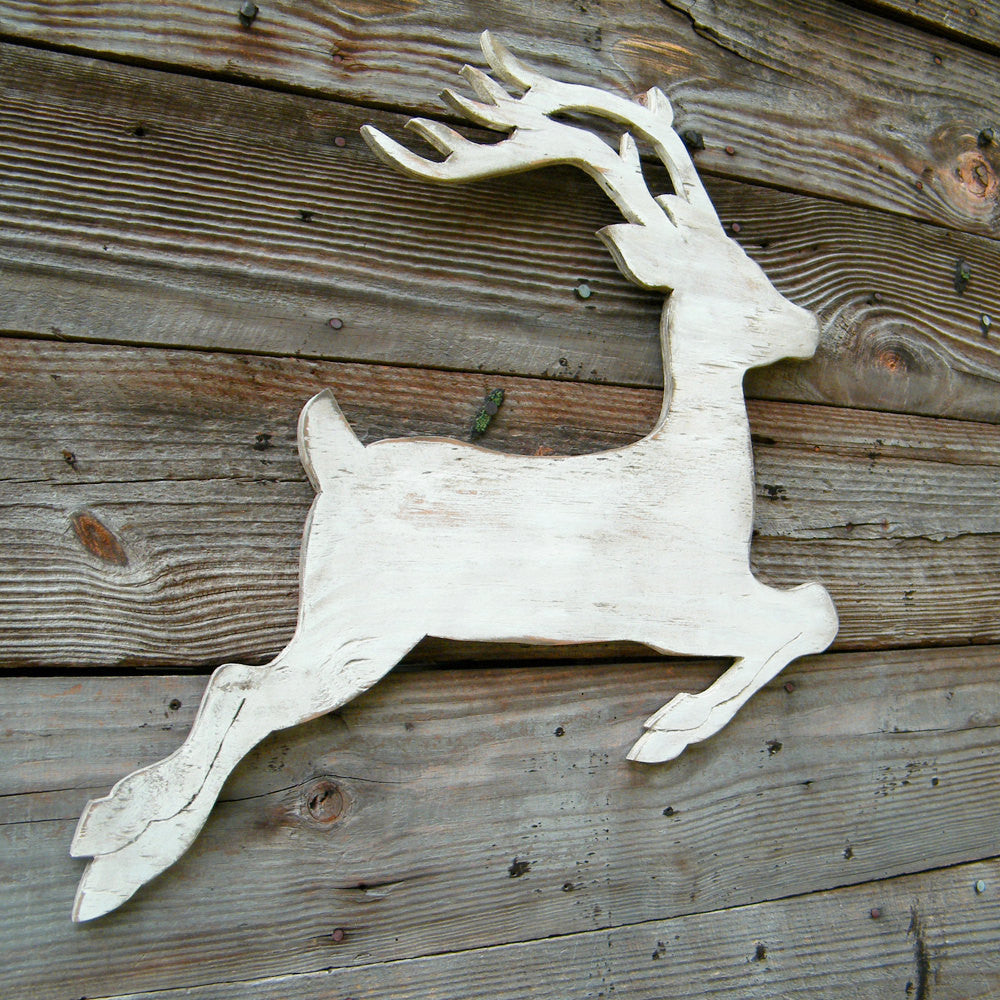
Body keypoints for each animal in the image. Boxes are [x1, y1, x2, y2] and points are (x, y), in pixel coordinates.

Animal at [69, 32, 838, 921]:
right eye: (737, 278)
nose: (809, 329)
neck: (694, 474)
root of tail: (337, 460)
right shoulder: (679, 604)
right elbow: (813, 613)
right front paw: (667, 728)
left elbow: (807, 611)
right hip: (363, 626)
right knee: (243, 689)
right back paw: (121, 858)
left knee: (235, 684)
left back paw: (109, 836)